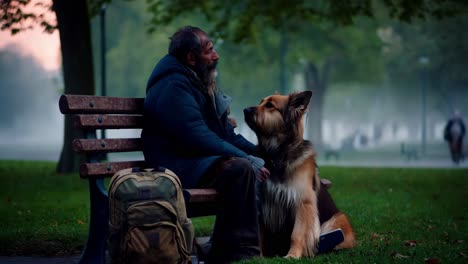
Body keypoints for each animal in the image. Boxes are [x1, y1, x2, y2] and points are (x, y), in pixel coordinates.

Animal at [243, 91, 356, 258]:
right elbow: (259, 234)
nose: (245, 110)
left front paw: (293, 255)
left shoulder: (303, 203)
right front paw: (259, 256)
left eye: (270, 105)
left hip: (337, 218)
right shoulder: (263, 203)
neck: (277, 155)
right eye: (260, 102)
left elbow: (296, 234)